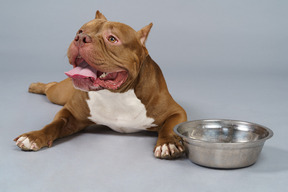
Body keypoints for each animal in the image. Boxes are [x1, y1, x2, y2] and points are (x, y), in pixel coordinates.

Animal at [14, 11, 188, 160]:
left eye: (112, 39)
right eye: (80, 30)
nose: (81, 37)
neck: (116, 94)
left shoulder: (177, 112)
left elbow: (168, 127)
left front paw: (168, 144)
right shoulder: (71, 114)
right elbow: (54, 125)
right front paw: (34, 136)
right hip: (59, 94)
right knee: (51, 86)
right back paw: (36, 86)